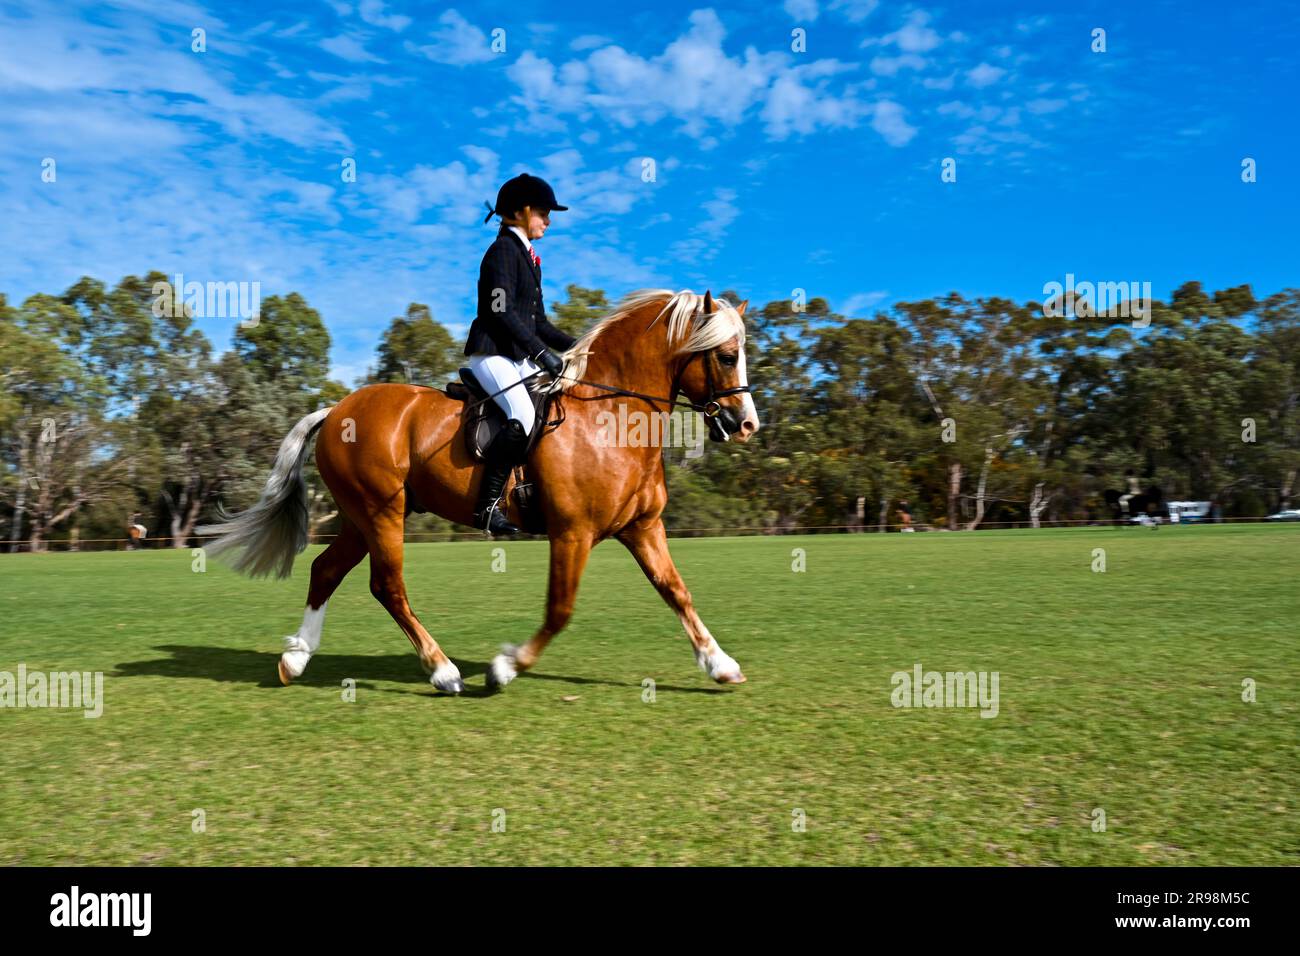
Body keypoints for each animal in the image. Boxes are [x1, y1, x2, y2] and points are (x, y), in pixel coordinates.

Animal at [196, 290, 759, 697]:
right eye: (727, 356)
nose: (746, 425)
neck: (611, 417)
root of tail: (335, 410)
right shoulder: (572, 533)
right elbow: (560, 609)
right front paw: (504, 667)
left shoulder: (642, 528)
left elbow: (676, 591)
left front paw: (721, 665)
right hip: (382, 511)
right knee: (387, 586)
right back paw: (443, 672)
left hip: (361, 516)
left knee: (326, 571)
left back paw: (295, 659)